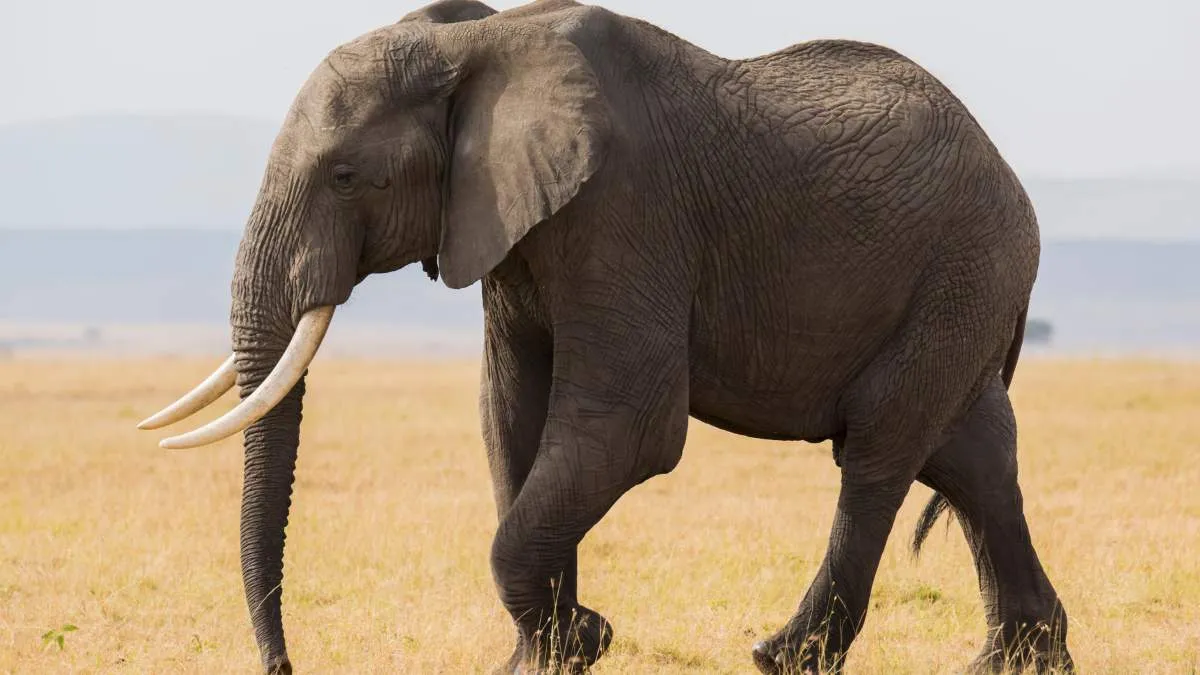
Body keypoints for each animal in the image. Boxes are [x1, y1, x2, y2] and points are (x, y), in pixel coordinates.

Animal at [136, 1, 1075, 672]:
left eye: (343, 175)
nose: (284, 665)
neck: (477, 42)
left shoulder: (626, 211)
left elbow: (628, 425)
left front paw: (582, 638)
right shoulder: (510, 232)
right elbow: (511, 417)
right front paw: (542, 656)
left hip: (962, 270)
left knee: (880, 450)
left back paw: (783, 656)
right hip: (964, 291)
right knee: (974, 457)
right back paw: (1015, 661)